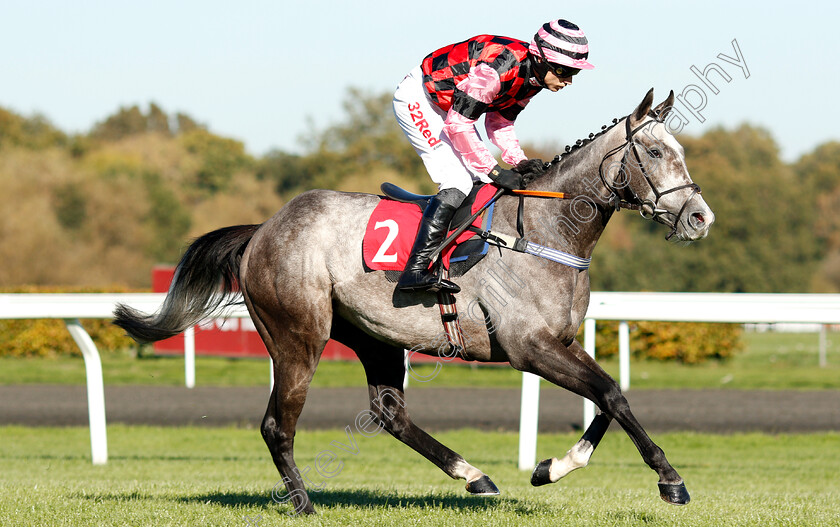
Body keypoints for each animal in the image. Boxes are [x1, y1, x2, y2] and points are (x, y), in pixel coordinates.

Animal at [113, 88, 716, 512]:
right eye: (656, 151)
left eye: (681, 151)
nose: (699, 217)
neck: (547, 232)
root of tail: (264, 229)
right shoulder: (530, 348)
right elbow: (612, 396)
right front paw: (671, 481)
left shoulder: (563, 342)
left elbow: (608, 399)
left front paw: (551, 467)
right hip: (297, 337)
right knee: (276, 425)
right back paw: (305, 503)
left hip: (374, 336)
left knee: (390, 413)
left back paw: (473, 475)